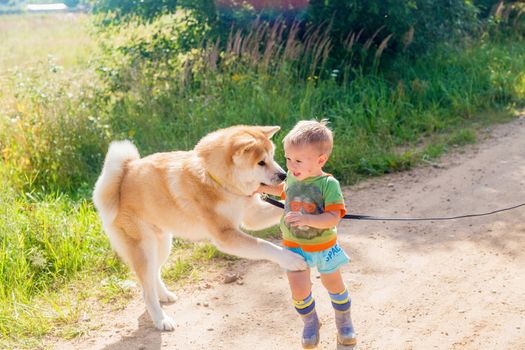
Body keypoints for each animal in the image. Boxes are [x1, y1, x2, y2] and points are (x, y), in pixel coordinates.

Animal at [91, 126, 304, 330]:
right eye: (261, 162)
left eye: (272, 156)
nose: (283, 175)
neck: (217, 179)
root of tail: (121, 179)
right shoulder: (226, 236)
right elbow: (265, 245)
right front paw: (290, 259)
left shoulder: (252, 215)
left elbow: (278, 211)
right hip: (144, 247)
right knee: (146, 290)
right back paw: (161, 320)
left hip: (161, 245)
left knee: (153, 275)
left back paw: (164, 295)